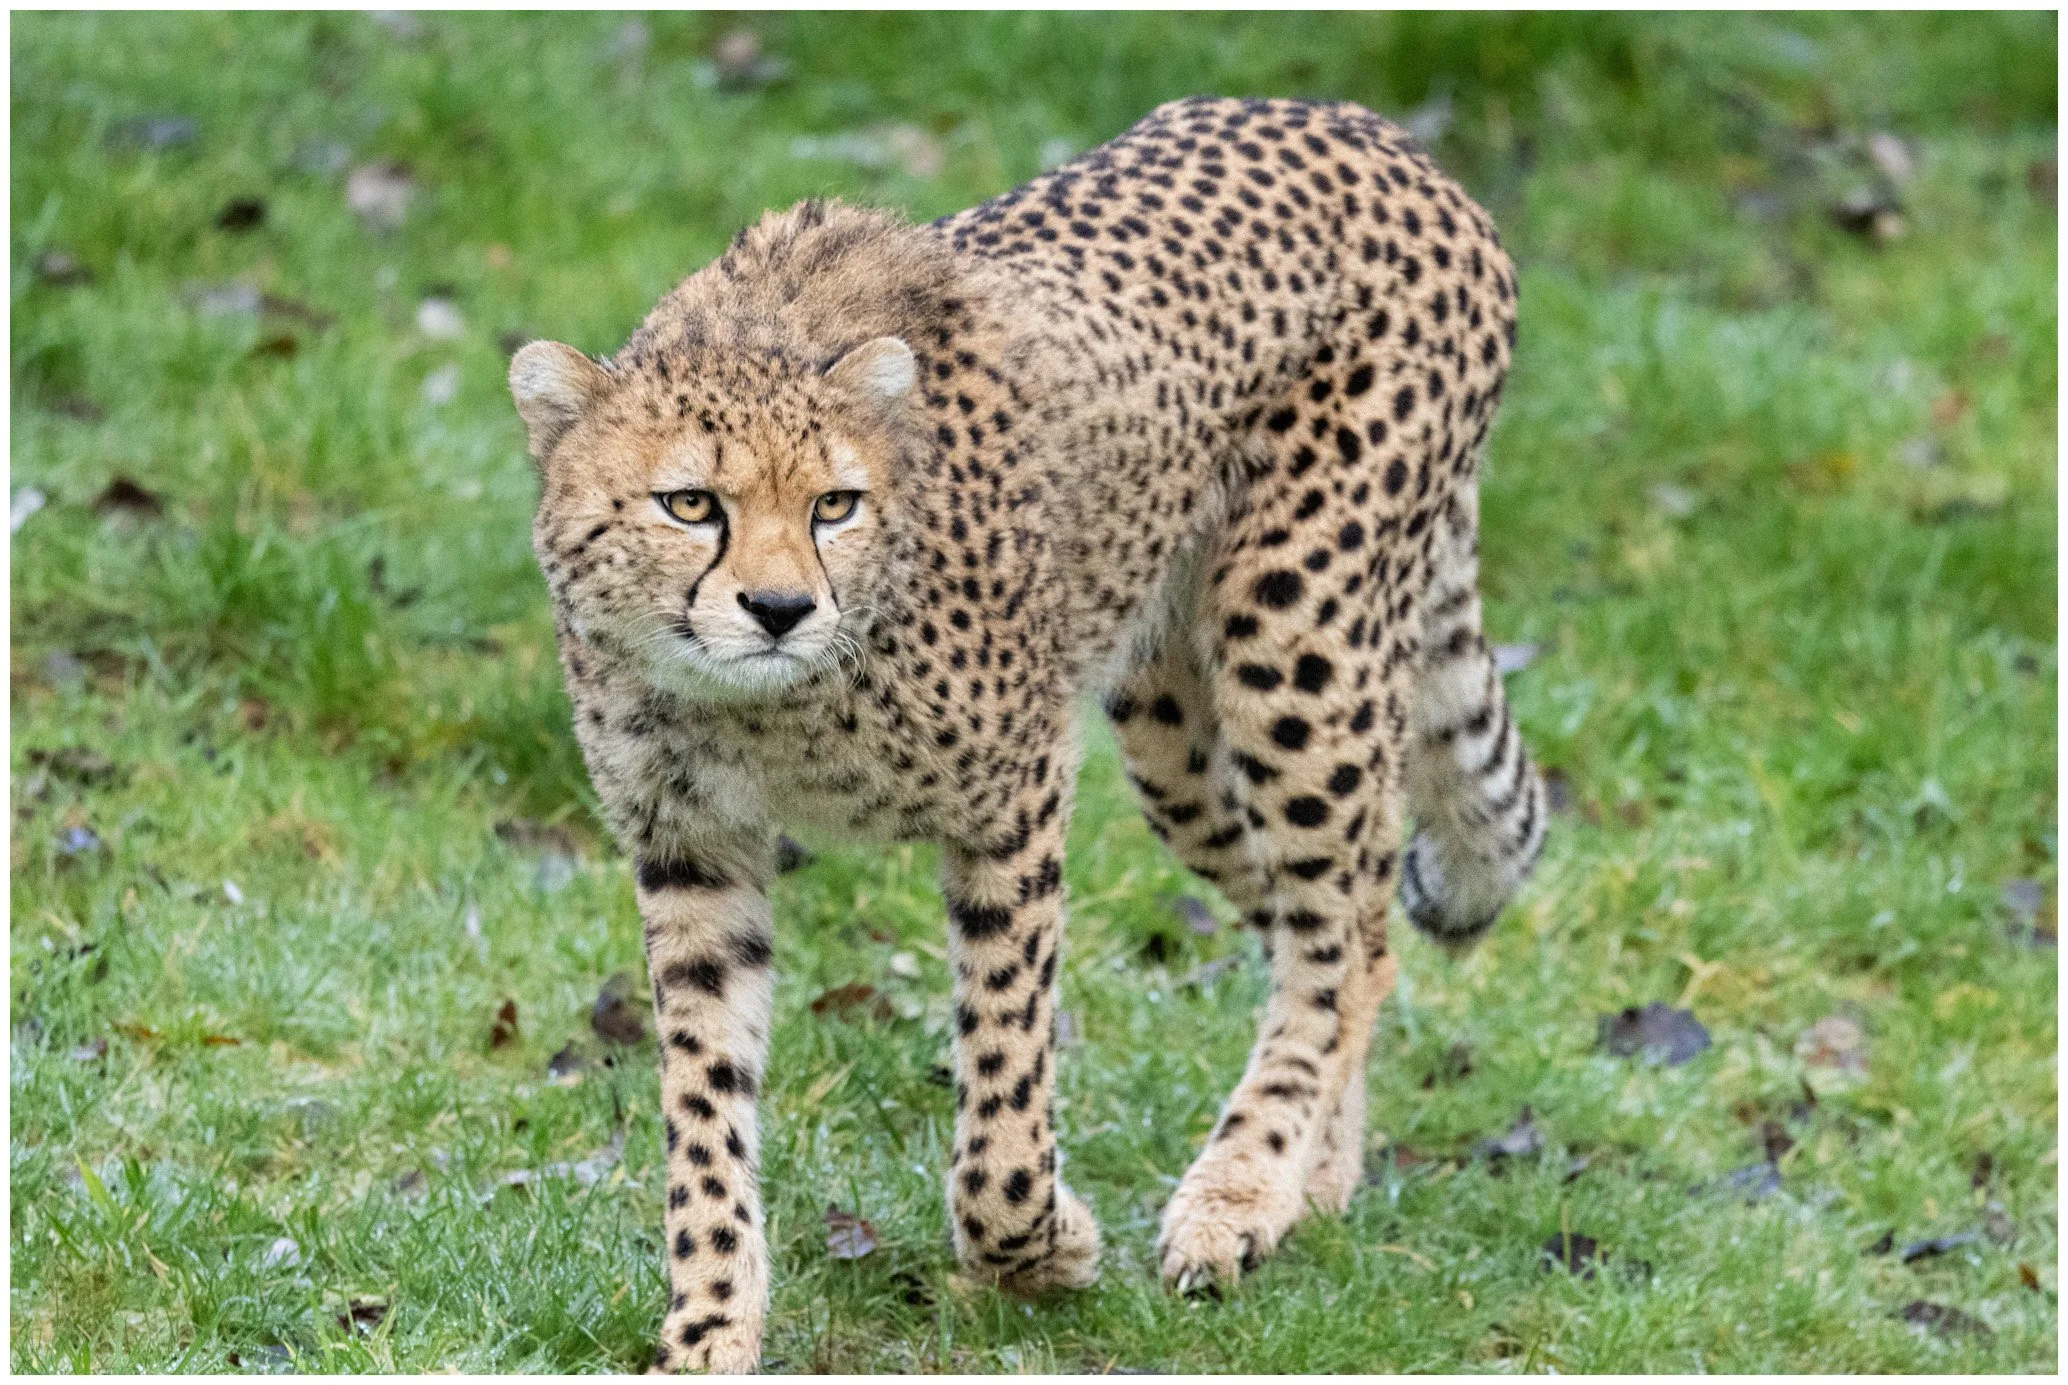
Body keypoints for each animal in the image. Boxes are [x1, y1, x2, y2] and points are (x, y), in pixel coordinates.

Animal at [508, 95, 1547, 1373]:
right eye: (690, 503)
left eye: (833, 505)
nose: (780, 607)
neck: (775, 707)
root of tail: (1363, 126)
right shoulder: (692, 849)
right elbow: (704, 1100)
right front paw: (710, 1320)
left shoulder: (1012, 798)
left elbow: (1002, 1089)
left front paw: (1046, 1248)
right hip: (1170, 728)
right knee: (1349, 920)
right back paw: (1318, 1175)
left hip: (1293, 632)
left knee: (1329, 929)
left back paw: (1239, 1191)